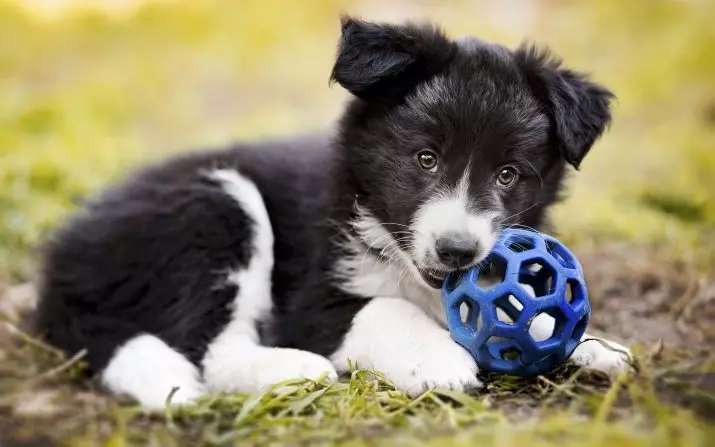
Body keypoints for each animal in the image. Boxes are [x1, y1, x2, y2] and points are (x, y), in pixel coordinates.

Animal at [35, 17, 632, 410]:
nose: (457, 252)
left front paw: (592, 345)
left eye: (508, 174)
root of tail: (62, 259)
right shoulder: (312, 297)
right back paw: (293, 370)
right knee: (210, 349)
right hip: (214, 208)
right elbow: (386, 308)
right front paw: (438, 360)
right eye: (426, 158)